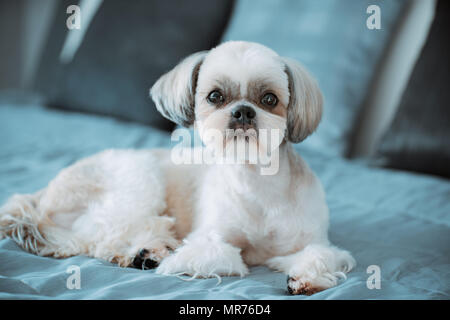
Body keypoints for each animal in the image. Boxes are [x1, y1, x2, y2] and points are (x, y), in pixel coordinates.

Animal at [0, 40, 356, 296]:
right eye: (215, 96)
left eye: (269, 99)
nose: (243, 112)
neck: (257, 181)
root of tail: (44, 192)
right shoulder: (209, 237)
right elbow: (226, 256)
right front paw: (176, 260)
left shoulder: (313, 242)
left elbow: (321, 254)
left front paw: (305, 278)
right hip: (138, 182)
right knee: (102, 234)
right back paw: (147, 252)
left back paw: (147, 252)